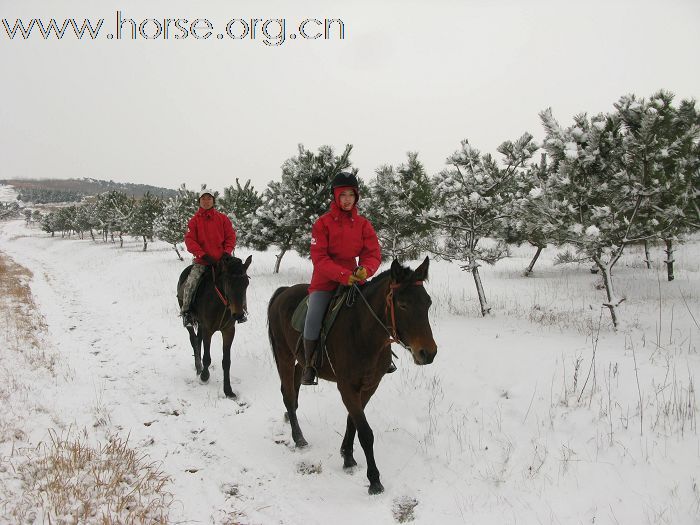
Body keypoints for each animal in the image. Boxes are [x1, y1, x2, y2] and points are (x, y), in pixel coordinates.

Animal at [178, 254, 252, 398]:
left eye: (246, 283)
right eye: (228, 283)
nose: (239, 315)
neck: (220, 302)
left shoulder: (229, 331)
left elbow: (226, 361)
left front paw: (228, 390)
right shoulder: (208, 330)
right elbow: (207, 358)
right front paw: (204, 377)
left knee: (198, 340)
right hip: (189, 319)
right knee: (193, 340)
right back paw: (199, 368)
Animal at [268, 256, 438, 494]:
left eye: (428, 303)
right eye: (403, 304)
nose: (428, 353)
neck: (362, 332)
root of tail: (283, 292)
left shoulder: (369, 386)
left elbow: (353, 421)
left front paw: (347, 456)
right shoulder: (347, 387)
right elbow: (365, 432)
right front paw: (374, 479)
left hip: (300, 361)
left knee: (294, 388)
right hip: (284, 356)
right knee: (289, 395)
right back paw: (299, 438)